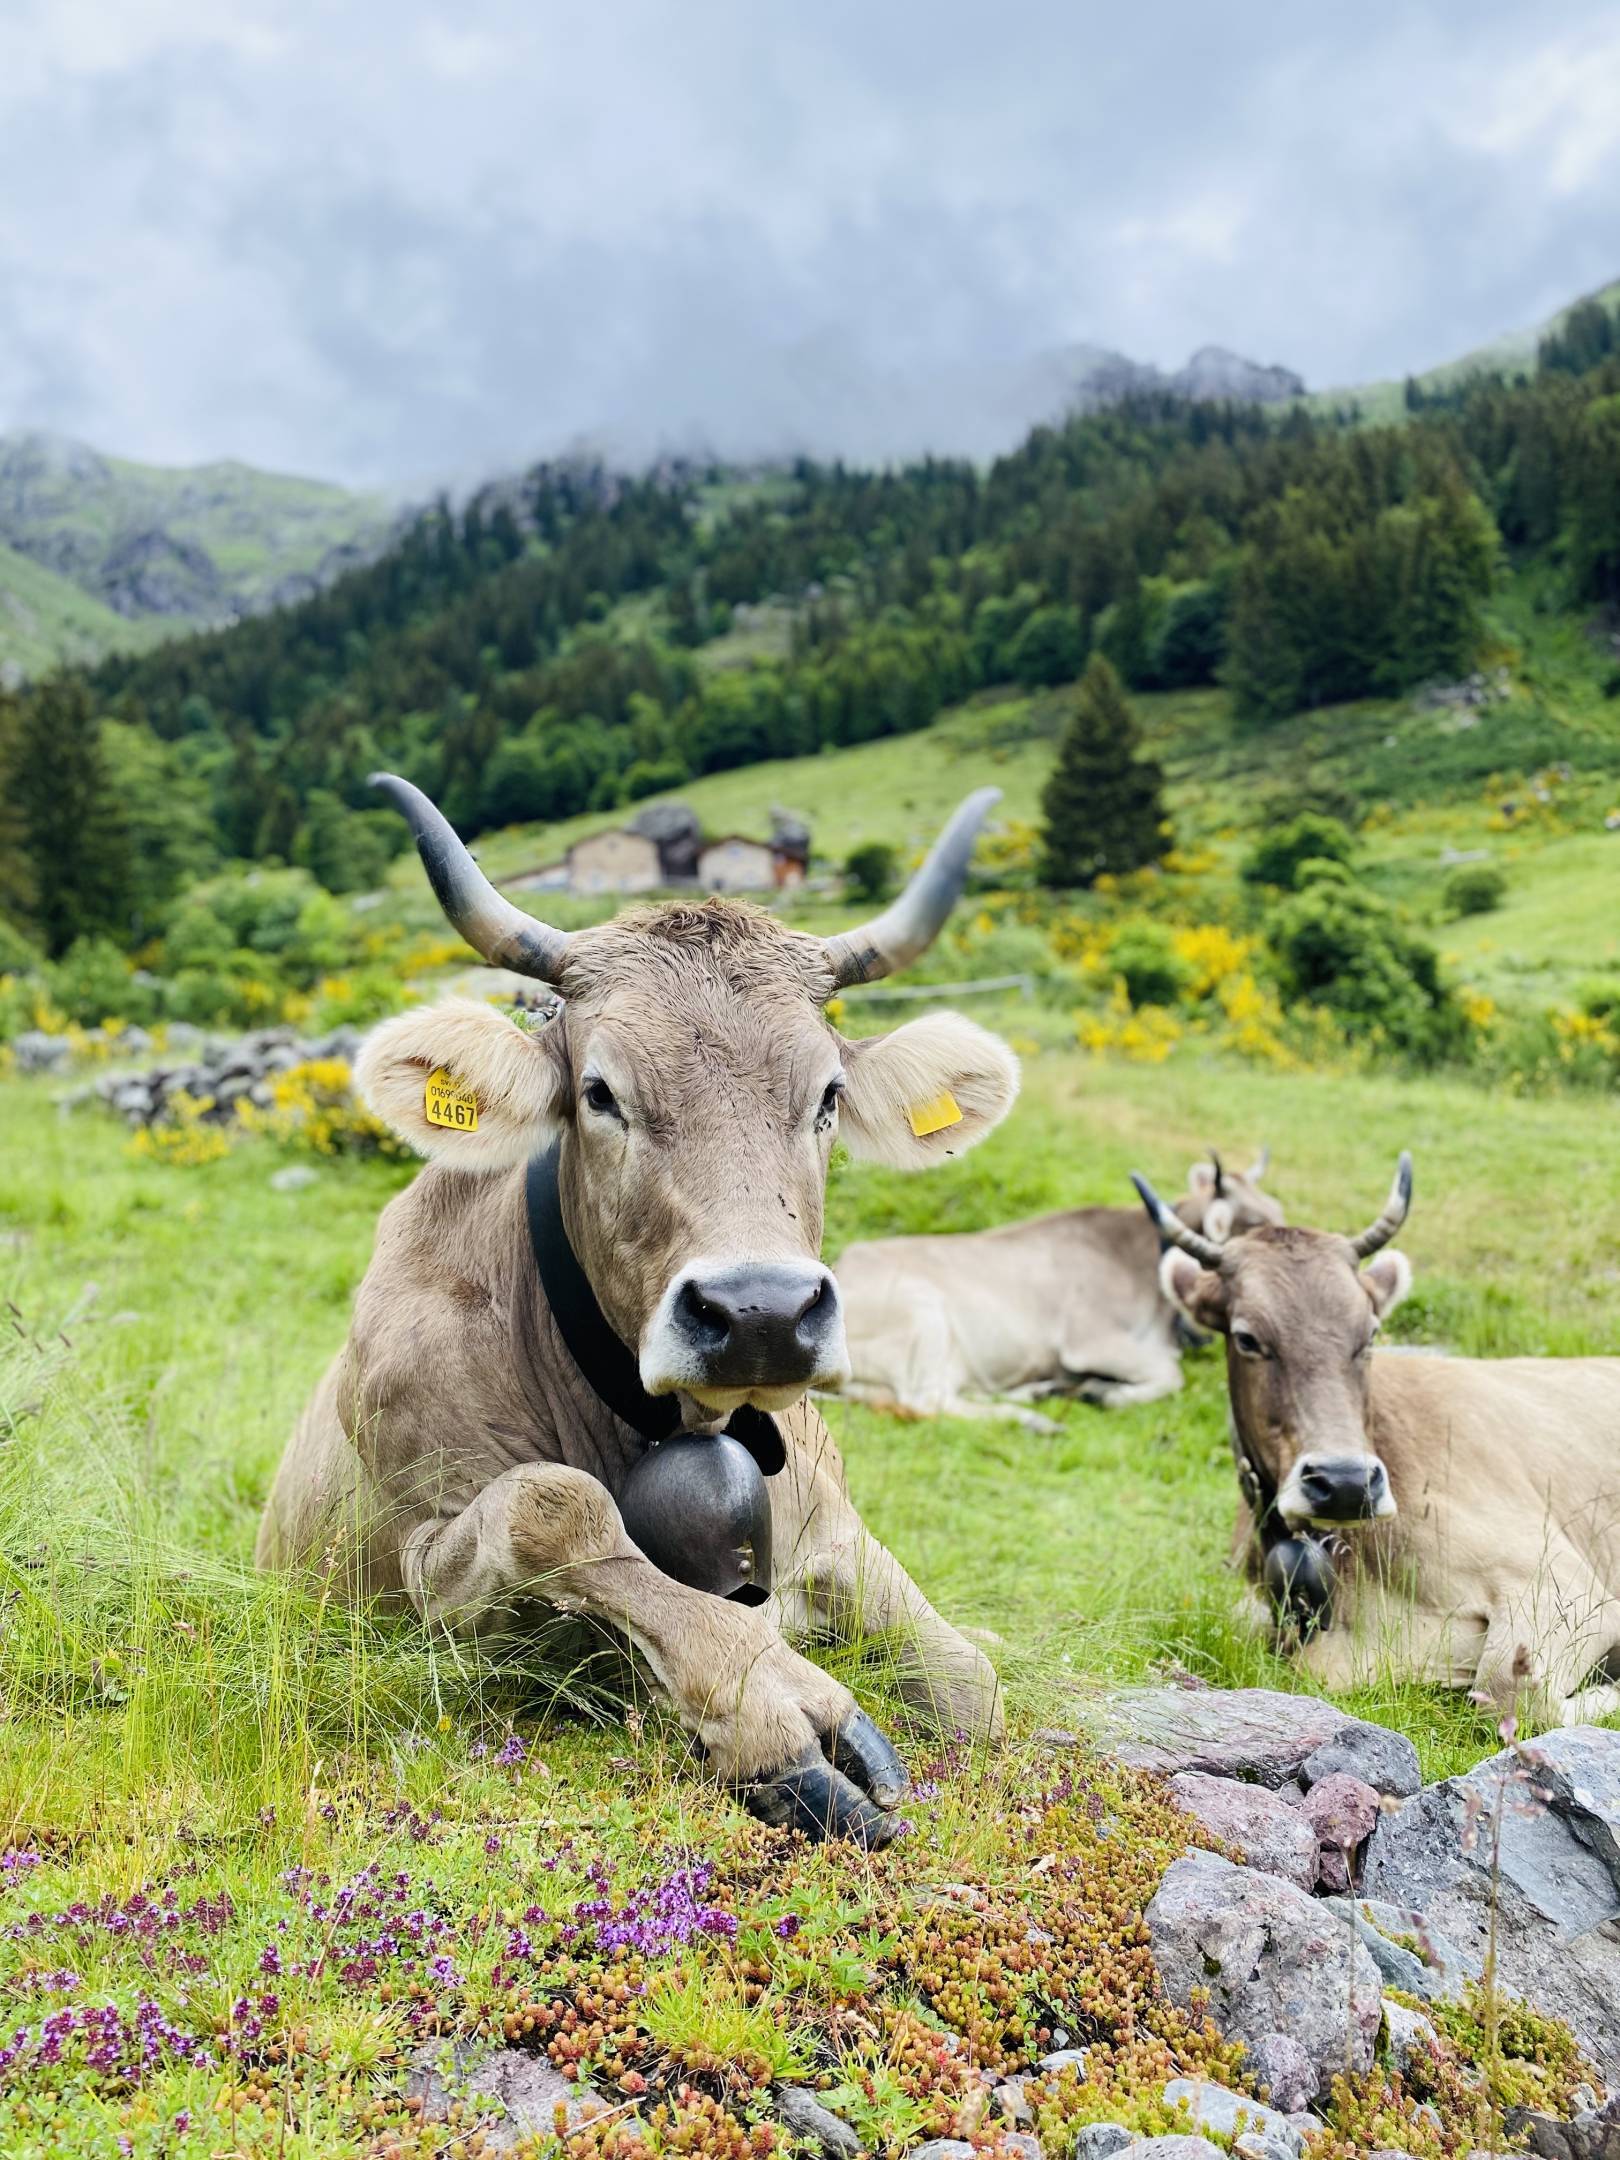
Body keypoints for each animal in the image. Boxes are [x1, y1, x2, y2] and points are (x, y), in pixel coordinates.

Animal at [260, 777, 1019, 1840]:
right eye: (599, 1093)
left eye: (828, 1096)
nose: (760, 1311)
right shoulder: (429, 1571)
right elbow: (555, 1503)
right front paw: (772, 1705)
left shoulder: (837, 1533)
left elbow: (974, 1685)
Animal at [838, 1140, 1278, 1425]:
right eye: (1254, 1223)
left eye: (1276, 1210)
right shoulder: (1088, 1341)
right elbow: (1171, 1373)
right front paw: (1104, 1392)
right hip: (922, 1312)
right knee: (928, 1402)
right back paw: (1031, 1418)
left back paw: (1040, 1392)